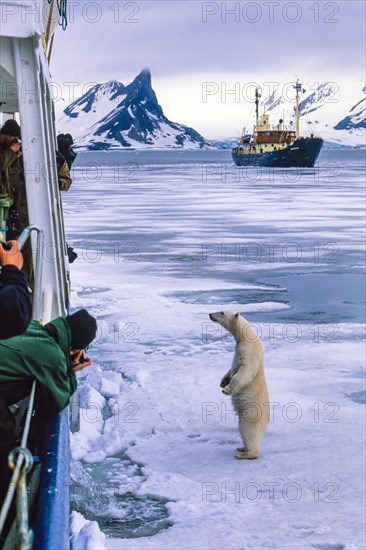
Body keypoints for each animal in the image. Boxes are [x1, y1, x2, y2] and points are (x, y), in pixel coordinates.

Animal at [209, 310, 268, 462]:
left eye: (222, 312)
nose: (210, 314)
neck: (246, 337)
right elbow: (231, 370)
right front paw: (223, 381)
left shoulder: (249, 351)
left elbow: (244, 372)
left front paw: (226, 389)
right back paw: (241, 447)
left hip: (251, 412)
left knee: (248, 430)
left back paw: (245, 454)